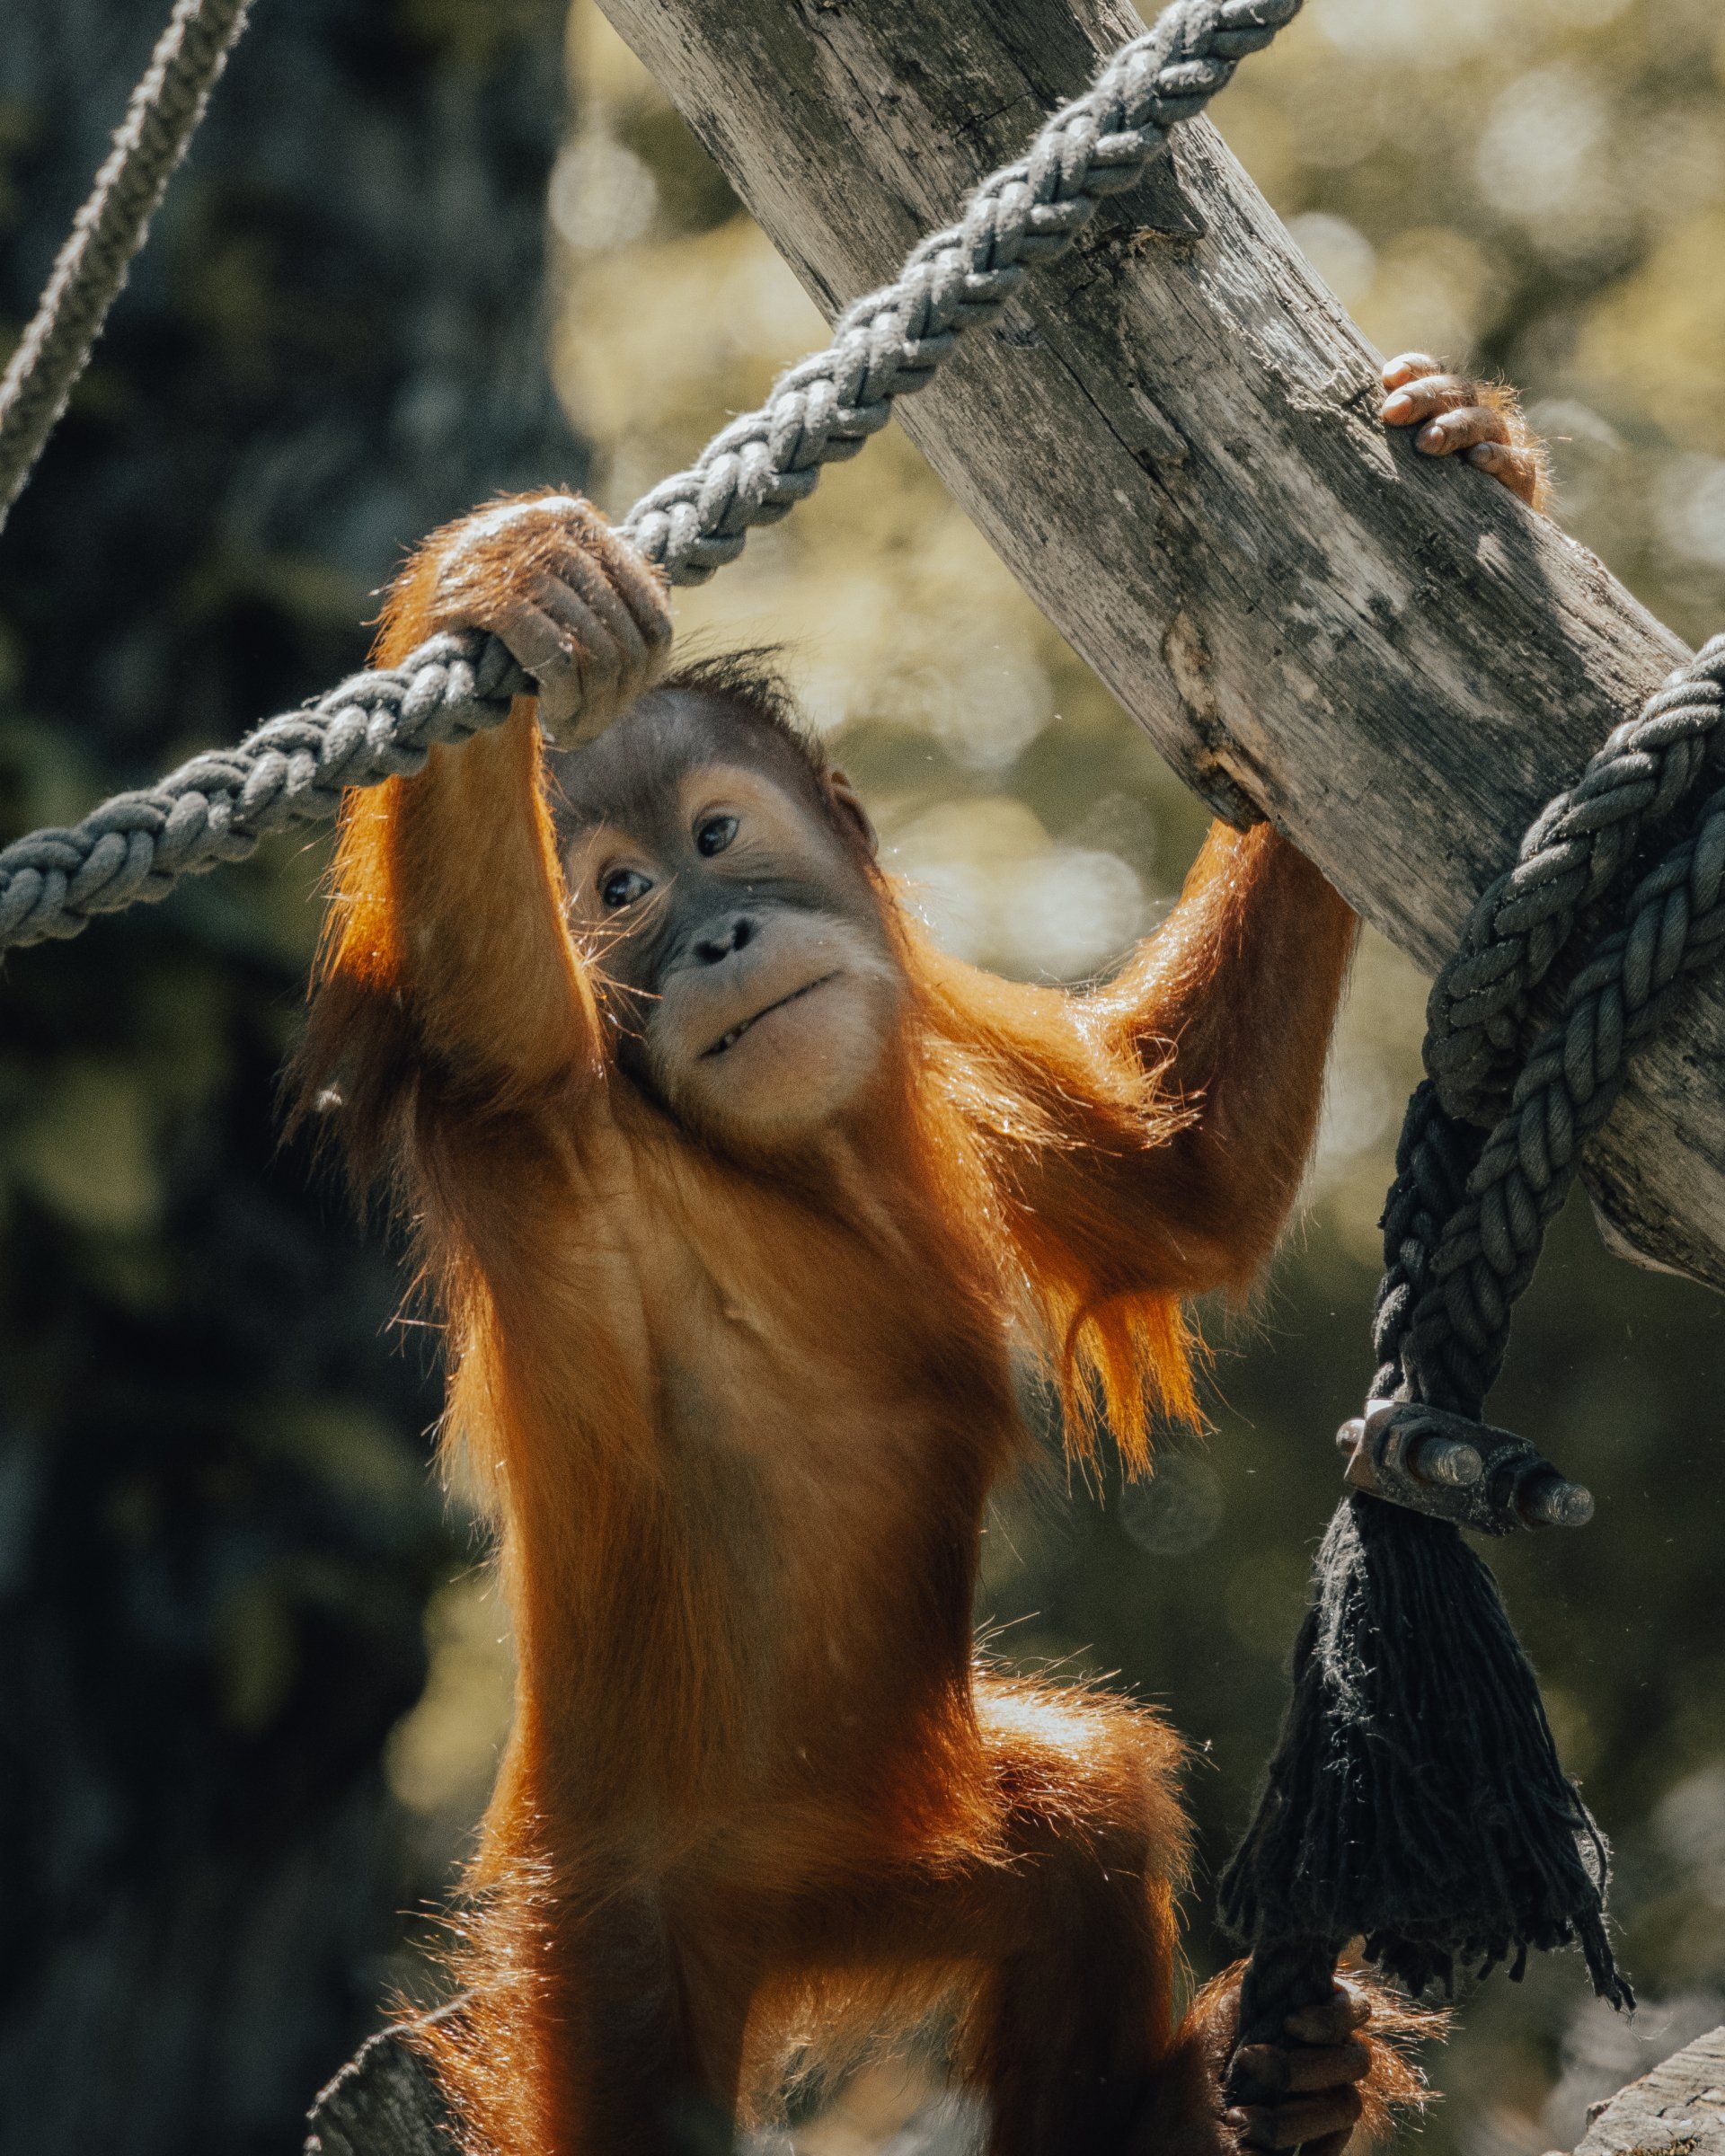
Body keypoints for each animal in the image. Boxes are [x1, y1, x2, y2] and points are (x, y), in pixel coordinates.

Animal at [293, 353, 1542, 2156]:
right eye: (616, 892)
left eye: (719, 837)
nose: (718, 939)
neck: (791, 1160)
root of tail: (772, 1927)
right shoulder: (553, 1128)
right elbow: (493, 1003)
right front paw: (511, 580)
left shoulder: (945, 1069)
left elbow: (1180, 1172)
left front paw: (1467, 435)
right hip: (614, 1954)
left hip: (902, 1855)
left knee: (1083, 1820)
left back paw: (1256, 2083)